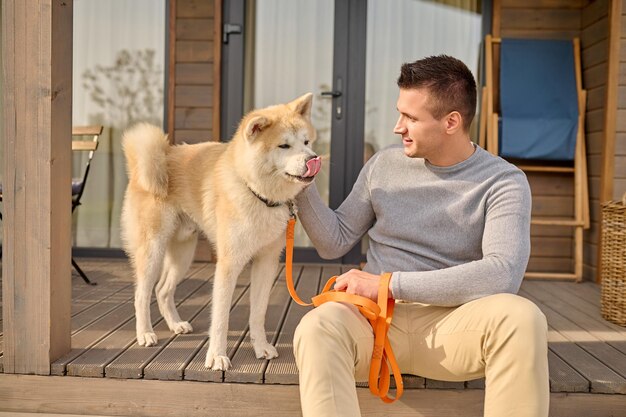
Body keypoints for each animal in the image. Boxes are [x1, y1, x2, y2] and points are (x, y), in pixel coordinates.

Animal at [119, 92, 320, 368]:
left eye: (306, 141)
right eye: (284, 146)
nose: (313, 159)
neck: (257, 193)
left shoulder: (266, 262)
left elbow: (258, 313)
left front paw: (261, 347)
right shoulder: (228, 264)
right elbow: (221, 318)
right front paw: (217, 356)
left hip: (183, 254)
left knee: (162, 290)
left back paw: (176, 324)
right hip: (152, 251)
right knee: (142, 294)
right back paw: (145, 334)